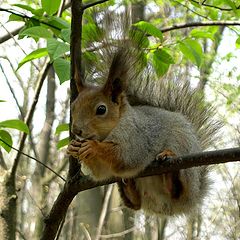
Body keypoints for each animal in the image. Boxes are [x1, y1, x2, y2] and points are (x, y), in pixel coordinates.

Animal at [66, 15, 219, 217]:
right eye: (73, 106)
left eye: (101, 109)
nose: (77, 130)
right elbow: (101, 173)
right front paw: (73, 147)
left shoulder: (137, 138)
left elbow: (125, 156)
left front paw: (93, 147)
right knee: (135, 203)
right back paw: (129, 185)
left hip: (184, 156)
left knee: (179, 190)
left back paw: (169, 168)